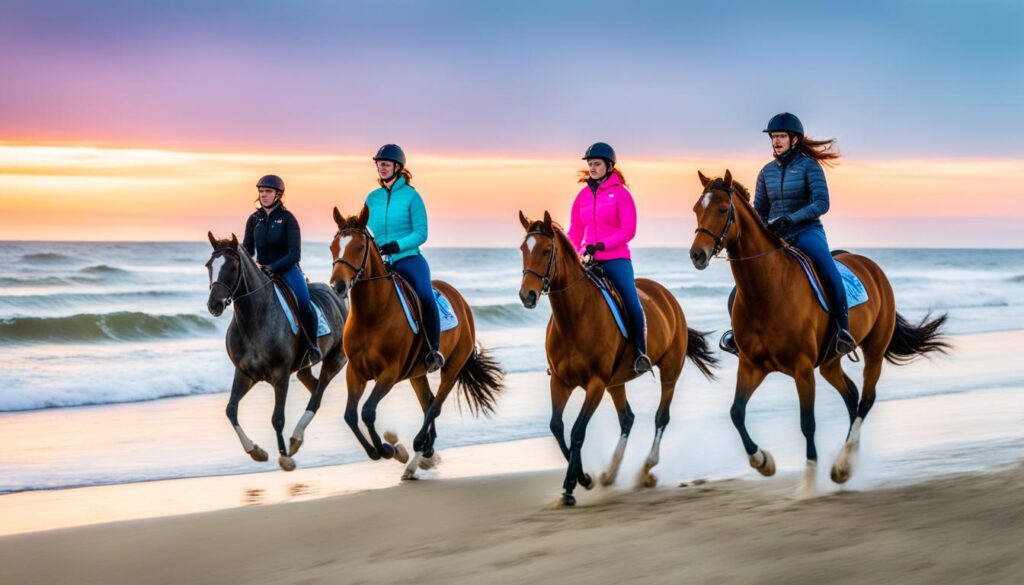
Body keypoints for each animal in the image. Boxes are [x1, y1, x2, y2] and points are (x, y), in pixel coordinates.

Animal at [203, 232, 348, 471]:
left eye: (232, 267)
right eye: (209, 266)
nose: (214, 305)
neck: (254, 318)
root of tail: (337, 296)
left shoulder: (280, 375)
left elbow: (277, 418)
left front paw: (285, 457)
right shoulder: (245, 374)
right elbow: (231, 410)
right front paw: (255, 451)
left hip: (336, 359)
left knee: (317, 396)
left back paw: (296, 438)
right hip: (304, 367)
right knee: (314, 386)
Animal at [327, 205, 503, 481]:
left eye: (358, 247)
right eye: (333, 246)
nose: (338, 285)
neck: (372, 314)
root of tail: (460, 300)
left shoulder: (389, 373)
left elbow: (367, 411)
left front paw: (389, 449)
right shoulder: (355, 372)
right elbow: (350, 416)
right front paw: (379, 450)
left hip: (452, 366)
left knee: (436, 405)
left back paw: (420, 444)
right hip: (417, 374)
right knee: (428, 402)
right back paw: (424, 453)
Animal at [516, 212, 716, 508]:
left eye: (546, 250)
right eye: (523, 249)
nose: (526, 295)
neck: (574, 317)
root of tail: (669, 298)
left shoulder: (596, 384)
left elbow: (577, 431)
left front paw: (572, 485)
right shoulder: (561, 382)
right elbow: (557, 427)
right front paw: (584, 478)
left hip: (668, 372)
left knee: (661, 417)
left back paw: (646, 469)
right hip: (616, 383)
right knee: (627, 419)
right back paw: (610, 473)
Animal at [688, 170, 950, 493]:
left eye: (723, 209)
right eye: (697, 209)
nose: (697, 255)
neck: (767, 291)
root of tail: (872, 267)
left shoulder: (802, 369)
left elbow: (807, 422)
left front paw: (809, 482)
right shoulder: (751, 365)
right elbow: (736, 413)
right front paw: (763, 462)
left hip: (873, 351)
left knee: (866, 399)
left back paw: (843, 463)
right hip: (829, 363)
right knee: (851, 395)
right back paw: (847, 462)